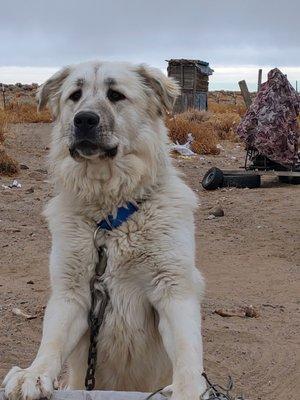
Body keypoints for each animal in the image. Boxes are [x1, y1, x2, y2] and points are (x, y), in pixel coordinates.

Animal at [2, 61, 206, 400]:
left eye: (116, 95)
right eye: (75, 95)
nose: (84, 119)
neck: (109, 219)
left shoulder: (173, 290)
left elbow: (187, 352)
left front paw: (188, 389)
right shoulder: (72, 294)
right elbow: (52, 342)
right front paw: (33, 373)